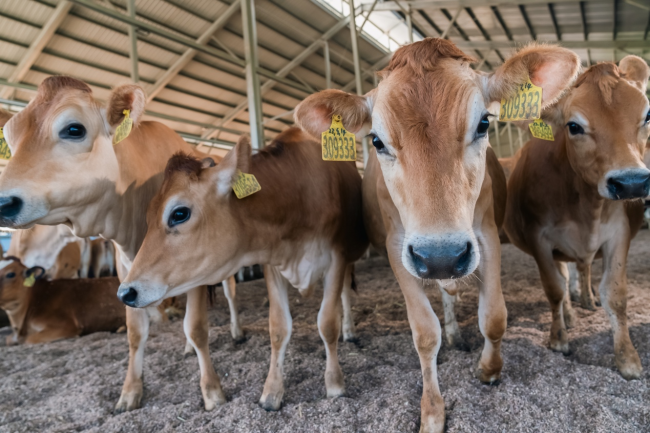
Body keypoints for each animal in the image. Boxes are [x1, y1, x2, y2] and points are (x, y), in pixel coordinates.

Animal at [0, 77, 235, 412]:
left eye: (74, 129)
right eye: (10, 138)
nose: (3, 202)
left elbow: (197, 327)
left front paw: (212, 391)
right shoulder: (126, 274)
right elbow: (136, 334)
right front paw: (130, 392)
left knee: (229, 293)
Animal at [114, 127, 368, 408]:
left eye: (179, 213)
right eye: (147, 218)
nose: (125, 292)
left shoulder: (336, 259)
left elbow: (327, 323)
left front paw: (335, 385)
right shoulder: (273, 265)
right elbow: (278, 328)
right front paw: (271, 392)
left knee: (344, 293)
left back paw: (350, 330)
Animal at [294, 38, 576, 430]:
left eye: (484, 123)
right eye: (377, 141)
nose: (441, 255)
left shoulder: (486, 235)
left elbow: (494, 316)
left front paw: (489, 370)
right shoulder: (398, 247)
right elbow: (425, 334)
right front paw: (431, 411)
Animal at [504, 56, 648, 378]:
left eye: (647, 117)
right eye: (573, 126)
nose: (631, 182)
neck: (587, 209)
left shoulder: (618, 233)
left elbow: (616, 295)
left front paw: (628, 359)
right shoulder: (539, 239)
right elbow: (554, 288)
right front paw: (558, 339)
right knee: (565, 277)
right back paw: (569, 316)